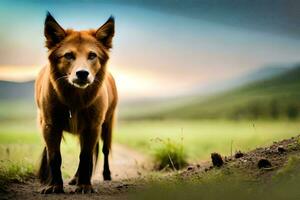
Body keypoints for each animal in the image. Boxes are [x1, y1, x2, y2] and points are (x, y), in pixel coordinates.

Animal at [34, 12, 117, 194]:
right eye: (68, 55)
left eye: (92, 55)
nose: (82, 73)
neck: (74, 100)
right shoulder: (50, 126)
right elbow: (54, 157)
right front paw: (55, 185)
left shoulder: (93, 126)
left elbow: (85, 157)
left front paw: (85, 185)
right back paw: (74, 178)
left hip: (106, 124)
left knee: (104, 150)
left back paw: (105, 175)